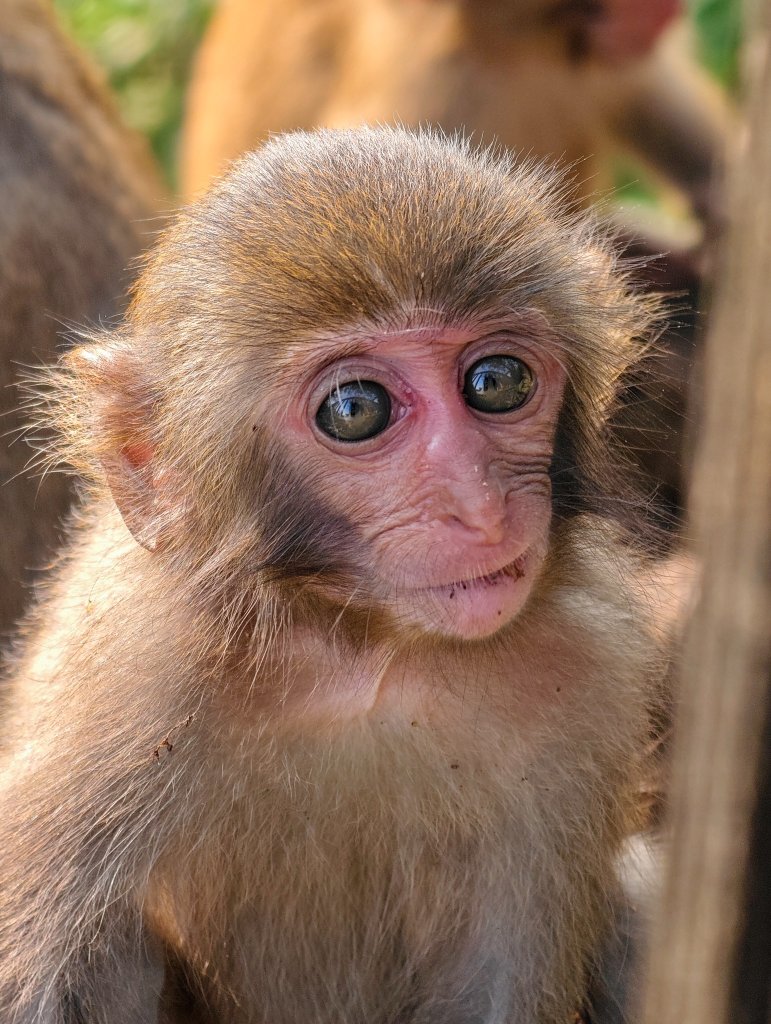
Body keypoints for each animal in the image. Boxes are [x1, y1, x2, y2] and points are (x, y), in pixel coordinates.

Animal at [0, 130, 663, 1024]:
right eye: (356, 410)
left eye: (496, 382)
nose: (478, 504)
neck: (360, 649)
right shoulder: (123, 681)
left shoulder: (586, 673)